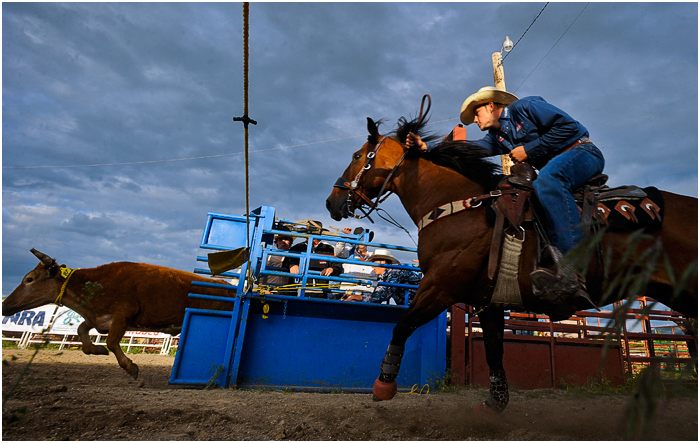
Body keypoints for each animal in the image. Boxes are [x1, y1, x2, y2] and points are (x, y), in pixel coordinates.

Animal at [2, 248, 238, 379]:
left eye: (29, 279)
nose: (5, 306)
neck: (95, 284)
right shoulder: (98, 318)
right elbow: (82, 331)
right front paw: (96, 350)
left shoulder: (123, 313)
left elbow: (112, 341)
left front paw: (131, 367)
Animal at [326, 115, 698, 413]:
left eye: (357, 156)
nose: (332, 201)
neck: (462, 206)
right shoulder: (487, 301)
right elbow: (493, 350)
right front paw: (497, 400)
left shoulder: (441, 286)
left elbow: (402, 325)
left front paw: (384, 384)